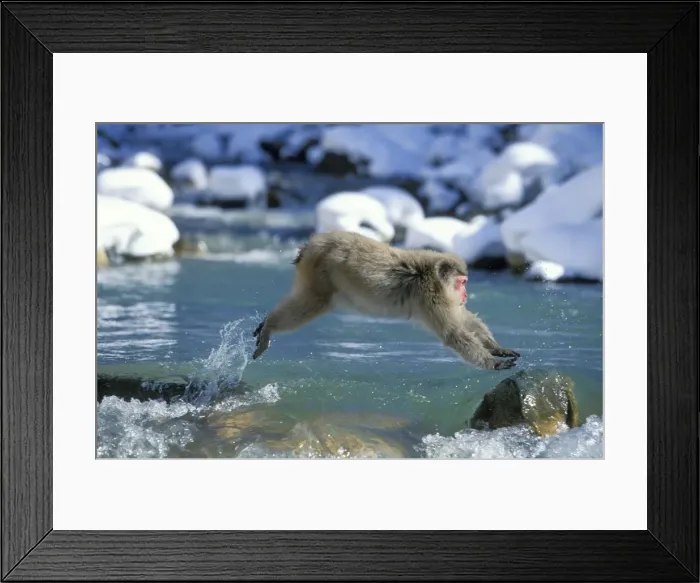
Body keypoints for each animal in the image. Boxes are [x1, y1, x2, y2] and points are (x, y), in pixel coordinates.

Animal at [252, 231, 521, 371]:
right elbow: (453, 333)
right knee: (314, 303)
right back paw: (270, 327)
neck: (430, 275)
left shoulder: (443, 297)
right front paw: (493, 362)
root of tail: (310, 245)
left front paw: (497, 347)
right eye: (462, 282)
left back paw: (266, 324)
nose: (465, 294)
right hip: (319, 274)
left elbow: (463, 318)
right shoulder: (432, 295)